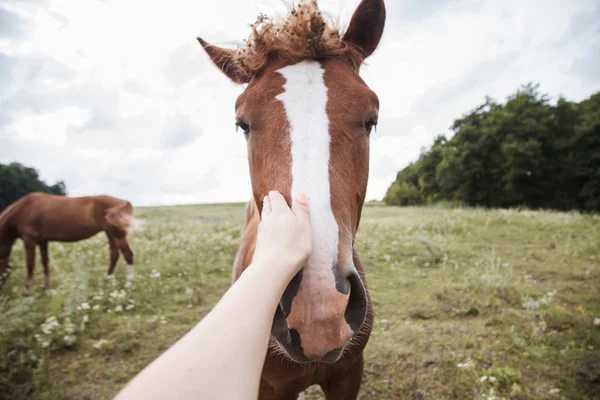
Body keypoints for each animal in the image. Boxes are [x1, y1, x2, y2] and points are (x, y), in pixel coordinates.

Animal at [0, 191, 135, 290]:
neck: (25, 209)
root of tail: (121, 201)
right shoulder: (43, 241)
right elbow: (45, 261)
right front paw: (45, 285)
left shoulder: (29, 240)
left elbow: (30, 263)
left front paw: (27, 290)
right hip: (110, 234)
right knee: (114, 255)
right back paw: (107, 280)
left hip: (117, 235)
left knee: (128, 254)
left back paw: (128, 284)